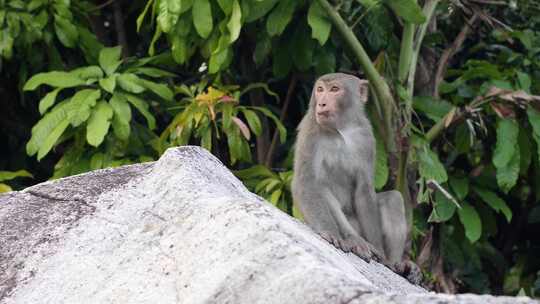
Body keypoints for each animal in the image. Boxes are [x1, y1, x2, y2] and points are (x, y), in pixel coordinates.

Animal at [294, 73, 408, 266]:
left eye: (334, 89)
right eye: (320, 90)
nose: (321, 103)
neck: (342, 129)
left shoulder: (366, 137)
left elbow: (364, 190)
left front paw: (380, 252)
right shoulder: (310, 129)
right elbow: (307, 183)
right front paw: (330, 232)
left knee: (393, 199)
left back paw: (396, 265)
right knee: (323, 191)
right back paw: (354, 239)